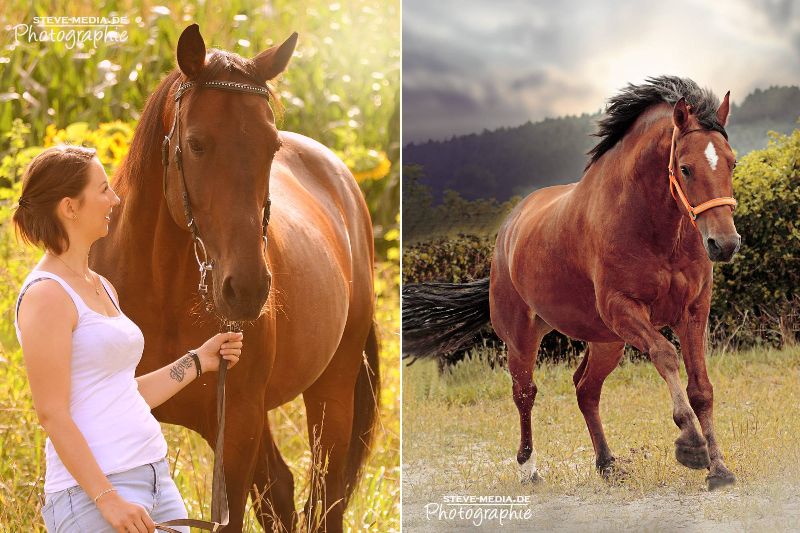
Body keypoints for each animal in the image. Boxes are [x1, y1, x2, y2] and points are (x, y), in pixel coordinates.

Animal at [92, 23, 380, 528]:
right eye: (195, 143)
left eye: (272, 146)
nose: (245, 290)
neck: (160, 292)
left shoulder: (237, 430)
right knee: (281, 491)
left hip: (330, 393)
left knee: (323, 500)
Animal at [406, 76, 744, 490]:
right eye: (685, 168)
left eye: (731, 162)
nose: (724, 244)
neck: (653, 227)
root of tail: (508, 232)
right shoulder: (622, 308)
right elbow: (665, 354)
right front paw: (690, 445)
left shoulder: (693, 311)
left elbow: (701, 389)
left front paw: (719, 470)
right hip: (523, 338)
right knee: (525, 393)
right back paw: (528, 470)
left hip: (607, 342)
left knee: (586, 389)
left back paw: (607, 463)